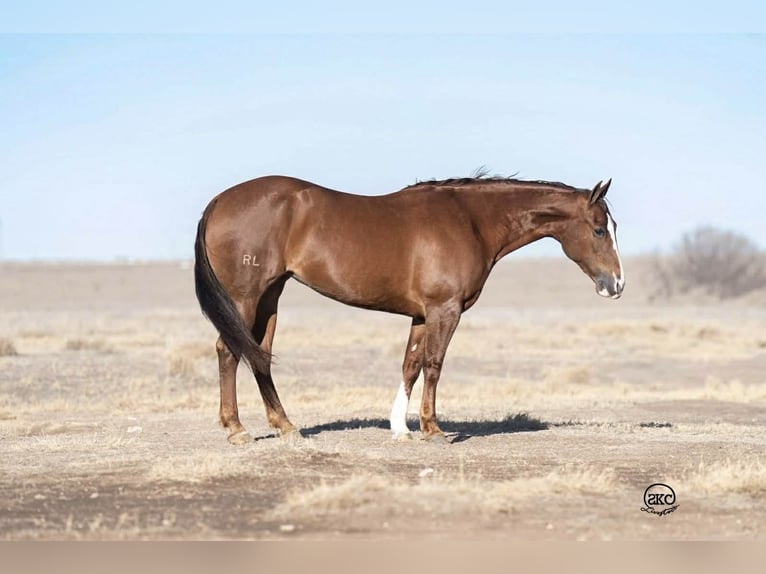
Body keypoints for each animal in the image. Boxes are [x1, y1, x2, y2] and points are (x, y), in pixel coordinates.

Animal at [194, 174, 624, 445]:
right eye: (599, 229)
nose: (616, 285)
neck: (470, 221)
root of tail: (217, 202)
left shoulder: (421, 315)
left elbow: (411, 365)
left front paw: (400, 428)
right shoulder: (444, 311)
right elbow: (433, 365)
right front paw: (432, 429)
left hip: (270, 297)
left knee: (259, 355)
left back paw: (284, 425)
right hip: (245, 298)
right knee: (228, 351)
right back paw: (236, 429)